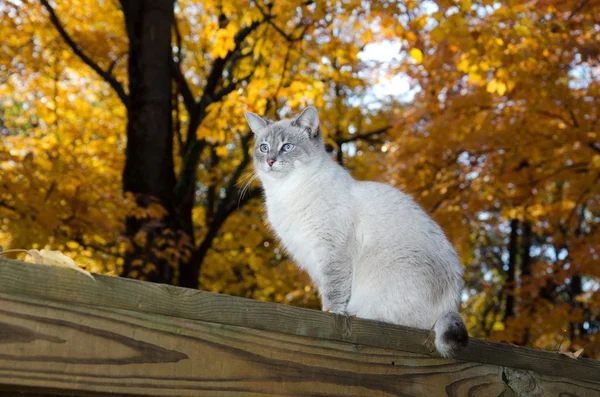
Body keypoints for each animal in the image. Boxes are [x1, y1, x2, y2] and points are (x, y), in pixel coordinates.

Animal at [244, 105, 468, 356]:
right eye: (264, 147)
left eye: (287, 147)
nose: (271, 160)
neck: (285, 191)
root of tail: (452, 301)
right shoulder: (312, 259)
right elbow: (326, 289)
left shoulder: (332, 251)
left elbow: (334, 292)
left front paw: (332, 313)